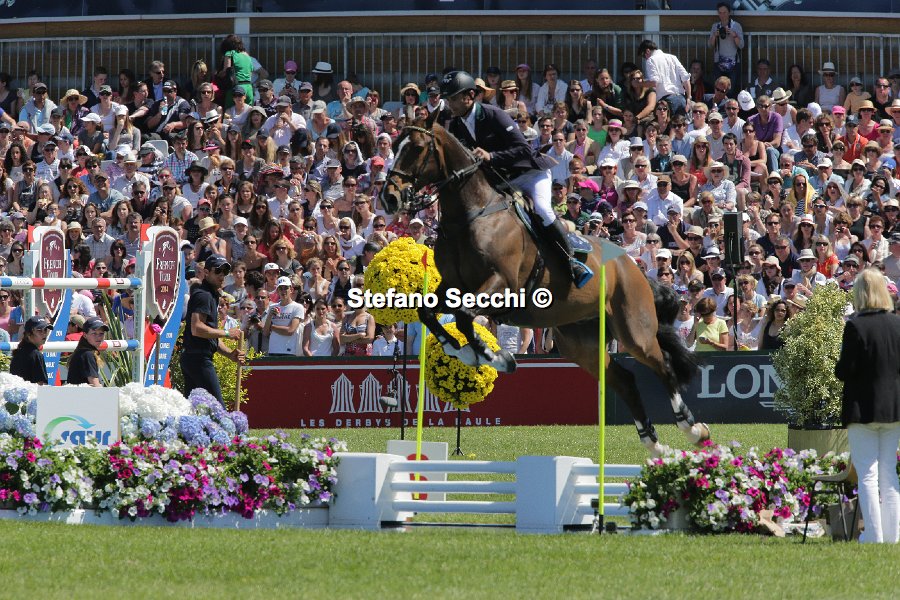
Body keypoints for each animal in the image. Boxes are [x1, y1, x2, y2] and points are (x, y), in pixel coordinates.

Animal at [381, 117, 710, 455]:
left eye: (417, 149)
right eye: (397, 146)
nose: (389, 198)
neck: (472, 215)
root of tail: (631, 266)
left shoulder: (501, 284)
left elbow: (463, 317)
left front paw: (491, 356)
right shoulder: (452, 286)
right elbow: (428, 313)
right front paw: (464, 352)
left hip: (633, 329)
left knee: (663, 365)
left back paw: (692, 428)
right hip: (582, 343)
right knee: (624, 379)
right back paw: (654, 444)